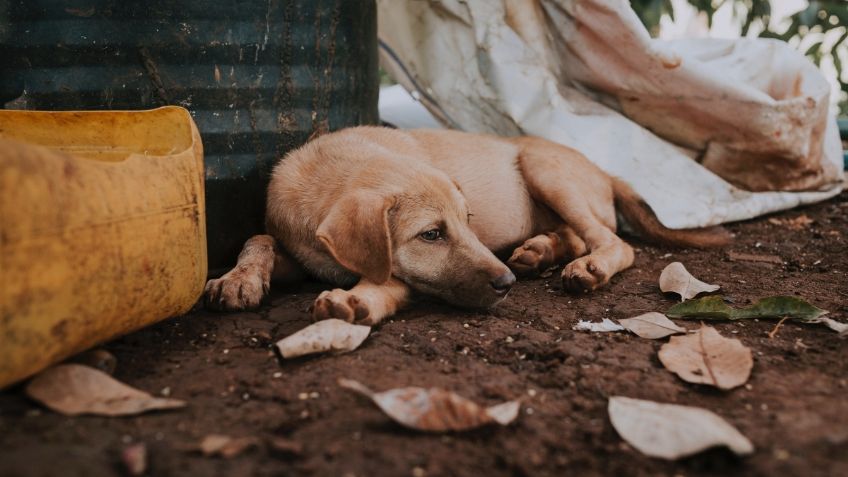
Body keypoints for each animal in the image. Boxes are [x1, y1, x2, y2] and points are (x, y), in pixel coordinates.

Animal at [202, 125, 724, 324]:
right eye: (431, 234)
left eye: (468, 221)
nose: (506, 284)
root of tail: (604, 171)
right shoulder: (301, 251)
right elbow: (259, 236)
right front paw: (239, 278)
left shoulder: (401, 275)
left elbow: (386, 280)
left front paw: (356, 300)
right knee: (579, 235)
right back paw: (540, 251)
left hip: (544, 168)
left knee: (613, 242)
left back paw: (585, 268)